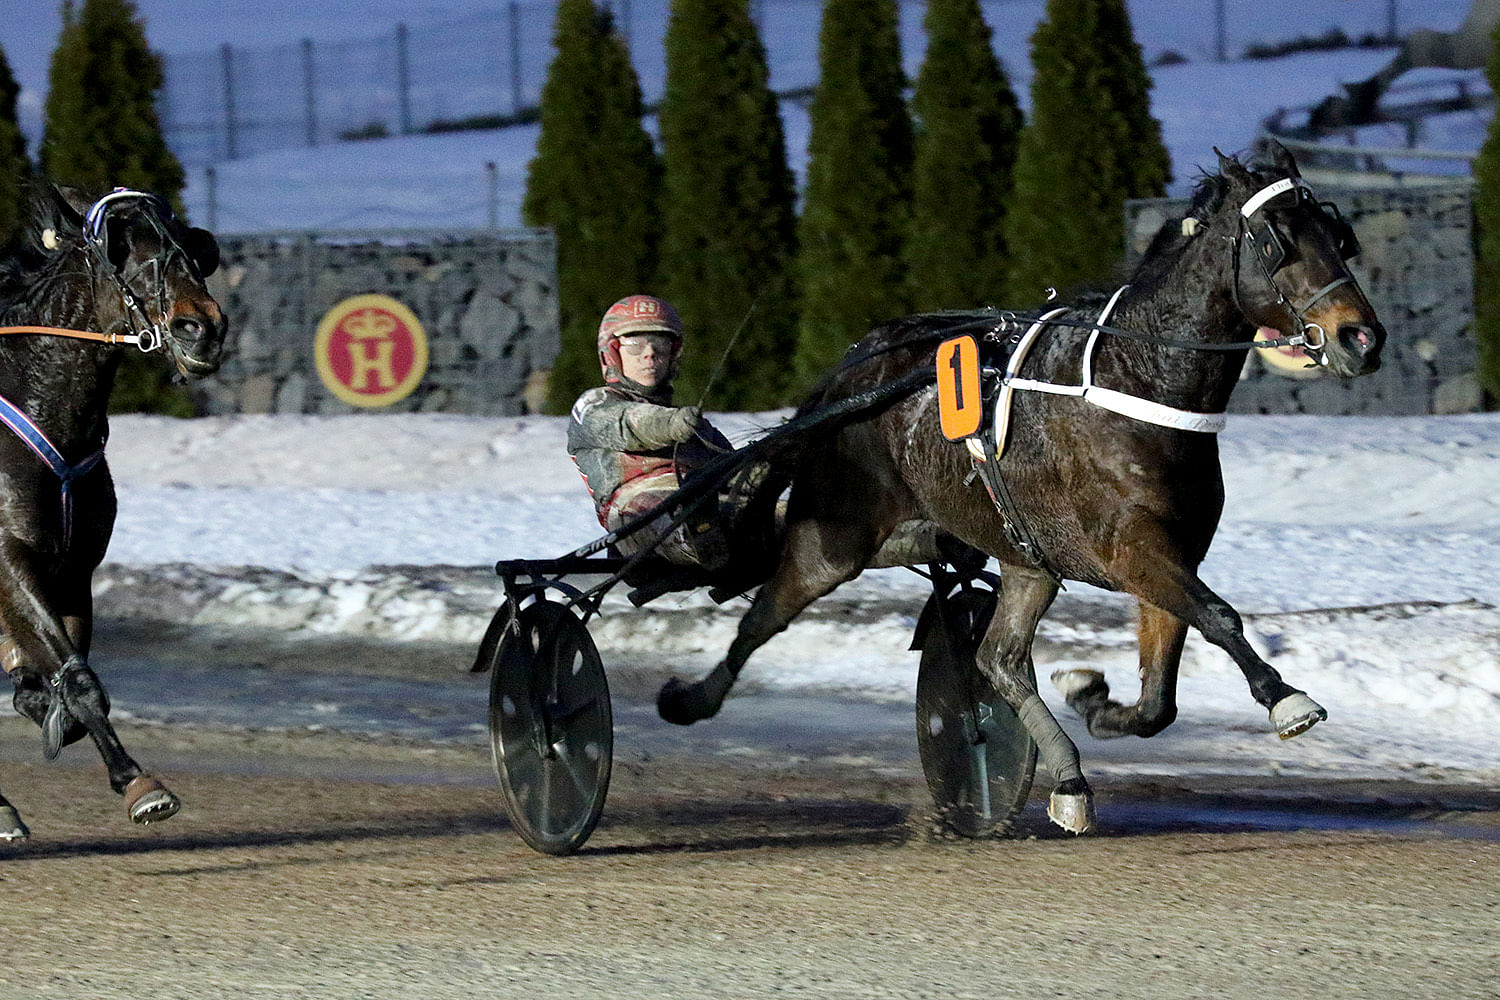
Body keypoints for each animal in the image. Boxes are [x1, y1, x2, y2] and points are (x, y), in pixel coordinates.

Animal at [0, 183, 225, 839]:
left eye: (191, 245)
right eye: (120, 248)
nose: (202, 327)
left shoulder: (73, 571)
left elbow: (70, 681)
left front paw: (41, 700)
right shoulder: (9, 555)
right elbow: (77, 682)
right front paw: (138, 783)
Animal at [663, 144, 1386, 833]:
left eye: (1337, 234)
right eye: (1276, 237)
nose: (1362, 337)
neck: (1139, 378)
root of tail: (852, 369)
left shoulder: (1169, 551)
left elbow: (1159, 698)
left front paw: (1094, 699)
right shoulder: (1131, 550)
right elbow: (1219, 616)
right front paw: (1286, 699)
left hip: (1018, 558)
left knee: (998, 658)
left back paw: (1066, 778)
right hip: (838, 533)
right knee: (768, 610)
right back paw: (692, 697)